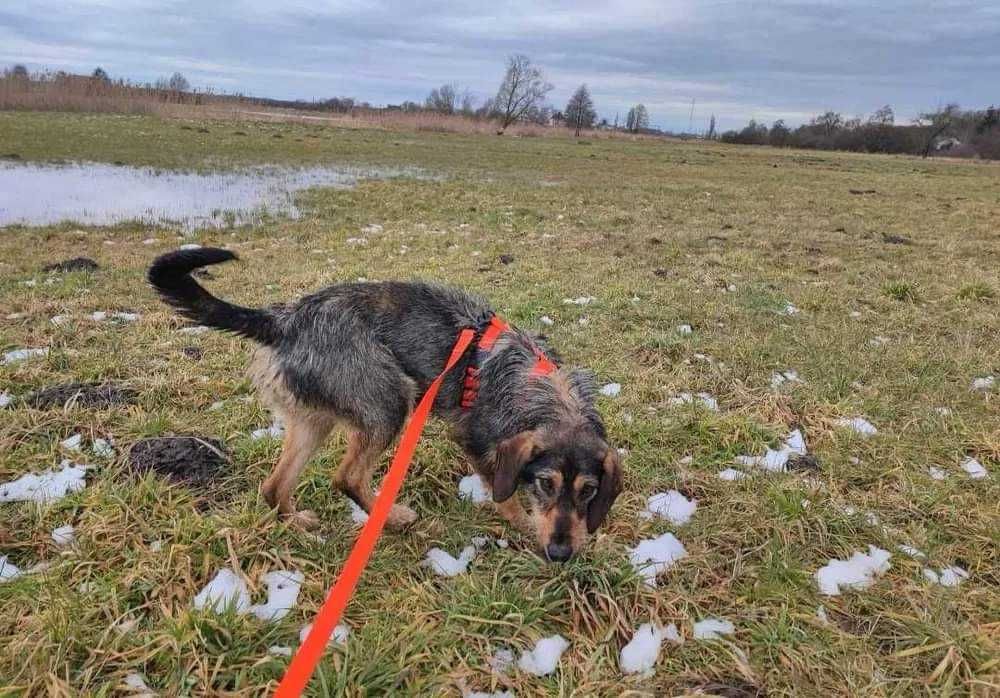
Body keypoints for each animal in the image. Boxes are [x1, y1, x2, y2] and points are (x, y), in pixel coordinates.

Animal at [149, 247, 620, 556]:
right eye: (545, 484)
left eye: (589, 491)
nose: (561, 554)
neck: (542, 389)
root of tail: (286, 319)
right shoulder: (475, 440)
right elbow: (506, 497)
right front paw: (525, 528)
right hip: (390, 400)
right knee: (347, 478)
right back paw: (393, 519)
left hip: (314, 421)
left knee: (274, 486)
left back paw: (300, 526)